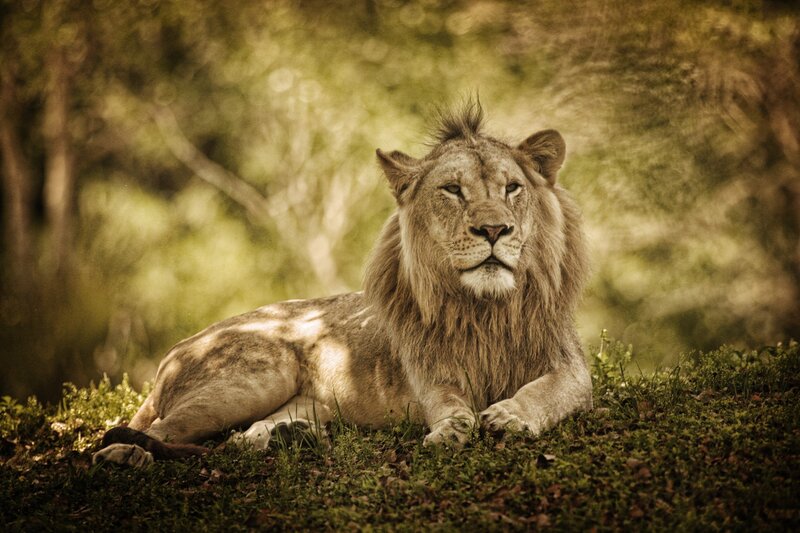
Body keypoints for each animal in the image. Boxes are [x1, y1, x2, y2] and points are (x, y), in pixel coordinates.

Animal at [93, 101, 592, 466]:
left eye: (512, 188)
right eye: (452, 190)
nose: (493, 230)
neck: (487, 307)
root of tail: (175, 352)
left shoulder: (570, 366)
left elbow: (547, 391)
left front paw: (510, 415)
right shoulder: (430, 371)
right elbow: (449, 403)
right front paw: (452, 427)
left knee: (238, 439)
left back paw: (290, 437)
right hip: (256, 376)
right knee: (152, 430)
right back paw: (123, 455)